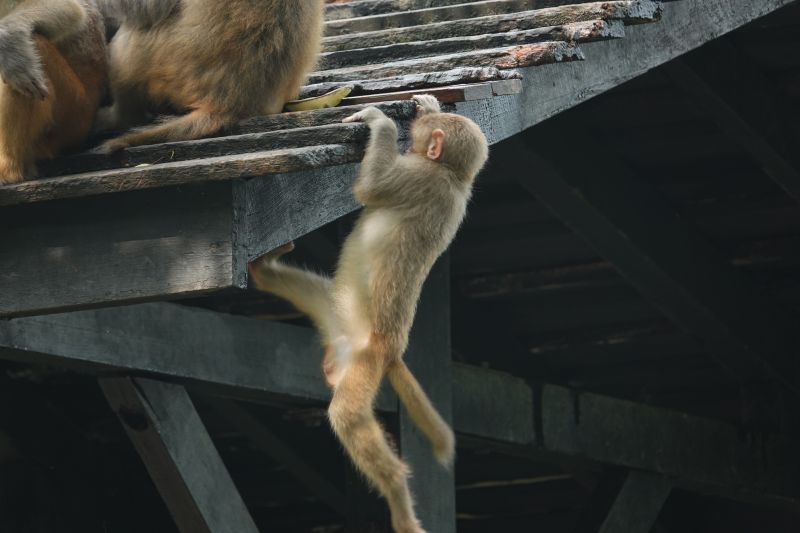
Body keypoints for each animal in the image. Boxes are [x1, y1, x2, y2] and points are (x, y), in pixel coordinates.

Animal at [249, 94, 489, 533]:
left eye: (418, 142)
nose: (411, 135)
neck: (453, 176)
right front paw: (427, 105)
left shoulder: (420, 176)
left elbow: (371, 189)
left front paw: (382, 125)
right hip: (335, 311)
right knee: (282, 280)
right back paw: (266, 264)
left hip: (365, 361)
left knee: (346, 416)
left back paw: (398, 497)